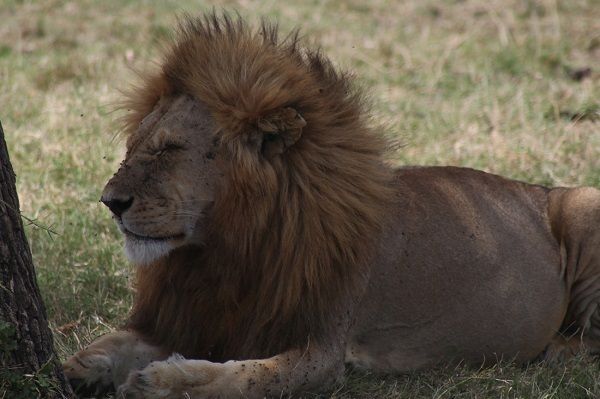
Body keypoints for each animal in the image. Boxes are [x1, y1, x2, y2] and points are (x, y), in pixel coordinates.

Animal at [63, 13, 600, 399]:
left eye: (170, 149)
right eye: (135, 146)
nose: (110, 202)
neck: (225, 248)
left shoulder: (320, 351)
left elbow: (240, 379)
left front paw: (163, 382)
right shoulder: (193, 312)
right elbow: (114, 342)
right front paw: (82, 365)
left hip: (583, 204)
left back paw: (555, 349)